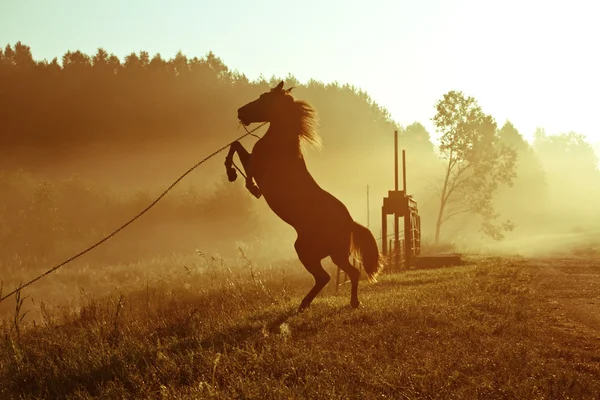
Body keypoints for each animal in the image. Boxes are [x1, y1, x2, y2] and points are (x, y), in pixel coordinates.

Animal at [225, 82, 384, 312]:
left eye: (264, 97)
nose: (240, 111)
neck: (279, 144)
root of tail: (350, 222)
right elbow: (236, 145)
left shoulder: (257, 165)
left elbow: (237, 149)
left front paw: (239, 179)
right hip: (330, 254)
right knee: (337, 275)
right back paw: (326, 303)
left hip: (311, 251)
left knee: (330, 275)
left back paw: (323, 303)